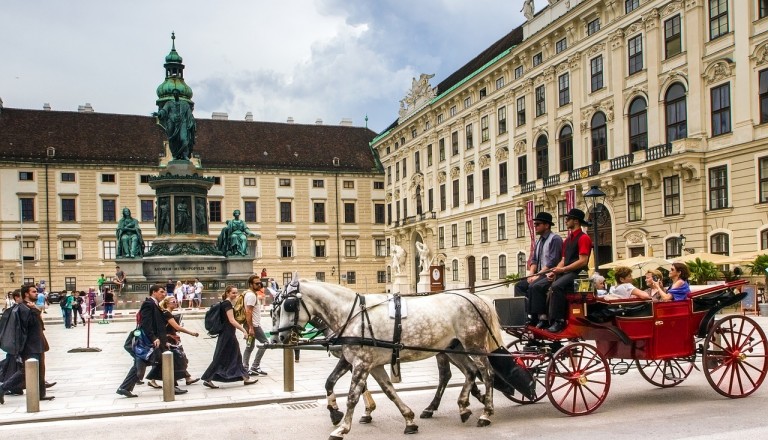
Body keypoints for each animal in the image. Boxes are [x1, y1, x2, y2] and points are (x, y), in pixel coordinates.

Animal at [276, 278, 504, 440]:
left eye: (289, 305)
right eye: (276, 309)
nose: (280, 337)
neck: (353, 315)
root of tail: (476, 298)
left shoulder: (362, 363)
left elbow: (352, 396)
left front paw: (342, 428)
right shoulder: (368, 363)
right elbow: (387, 390)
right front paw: (408, 420)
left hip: (474, 346)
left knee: (486, 374)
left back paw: (486, 412)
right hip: (453, 348)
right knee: (469, 372)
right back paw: (463, 406)